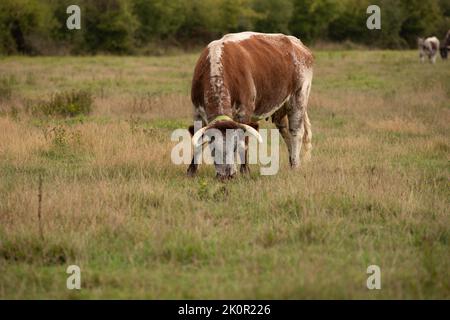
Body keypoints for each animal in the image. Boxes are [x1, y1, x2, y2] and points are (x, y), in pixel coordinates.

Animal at [186, 31, 312, 180]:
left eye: (234, 148)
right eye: (214, 149)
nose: (227, 175)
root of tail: (298, 44)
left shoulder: (244, 112)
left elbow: (244, 142)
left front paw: (245, 170)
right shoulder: (197, 112)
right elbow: (198, 141)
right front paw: (191, 171)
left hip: (299, 97)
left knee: (296, 132)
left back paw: (296, 165)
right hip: (280, 108)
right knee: (285, 132)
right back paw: (292, 163)